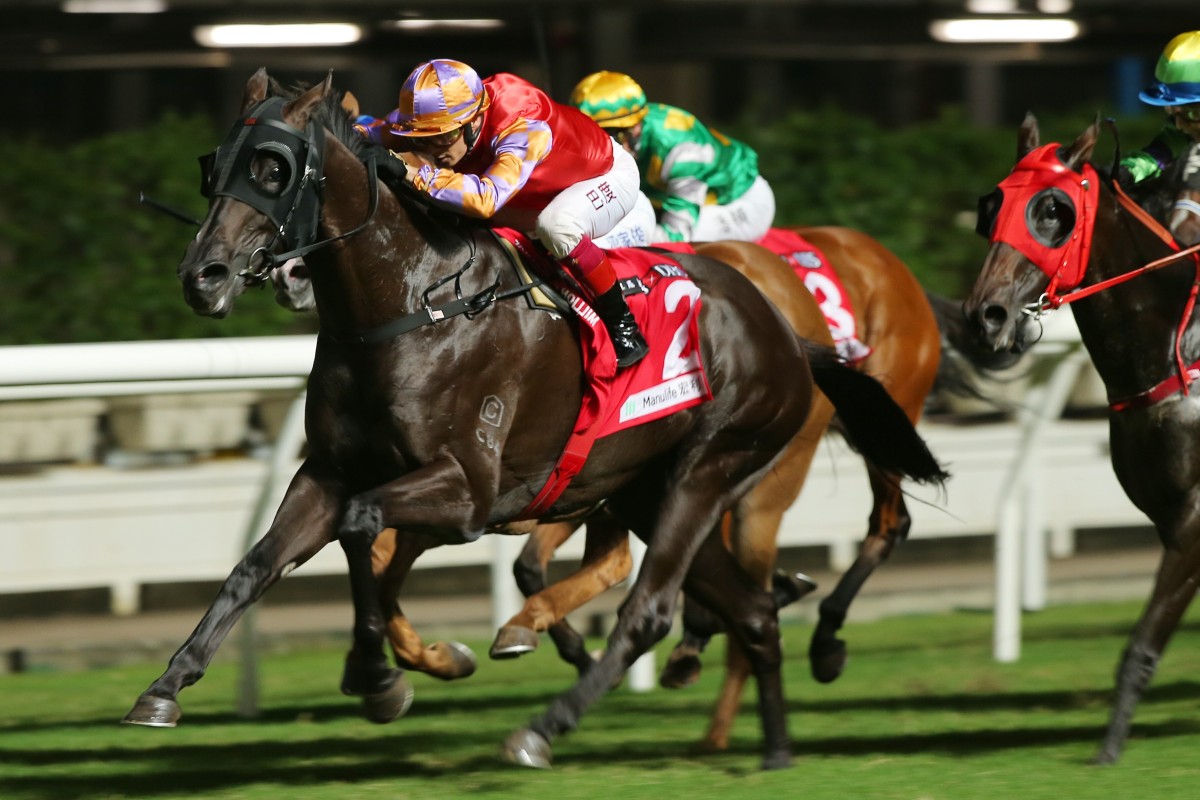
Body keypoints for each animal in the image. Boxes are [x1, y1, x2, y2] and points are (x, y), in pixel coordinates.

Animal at [121, 71, 945, 772]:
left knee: (654, 607)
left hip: (715, 468)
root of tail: (784, 326)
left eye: (272, 170)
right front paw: (165, 687)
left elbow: (364, 530)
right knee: (749, 608)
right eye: (215, 166)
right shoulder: (326, 471)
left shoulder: (468, 491)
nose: (202, 277)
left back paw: (544, 729)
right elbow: (257, 564)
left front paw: (377, 675)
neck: (411, 305)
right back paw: (772, 748)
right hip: (648, 488)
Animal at [960, 112, 1200, 762]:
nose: (985, 316)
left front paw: (1107, 751)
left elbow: (1141, 644)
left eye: (1053, 208)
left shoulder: (1195, 518)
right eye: (991, 205)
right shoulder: (1166, 517)